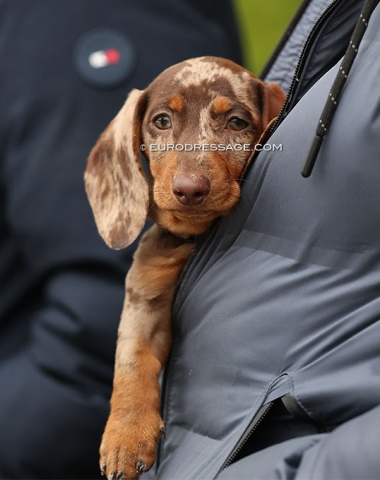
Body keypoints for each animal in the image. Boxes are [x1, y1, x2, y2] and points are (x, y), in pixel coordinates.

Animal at [84, 54, 284, 478]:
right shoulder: (143, 300)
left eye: (237, 123)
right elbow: (132, 361)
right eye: (161, 121)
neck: (193, 239)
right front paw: (127, 436)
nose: (190, 189)